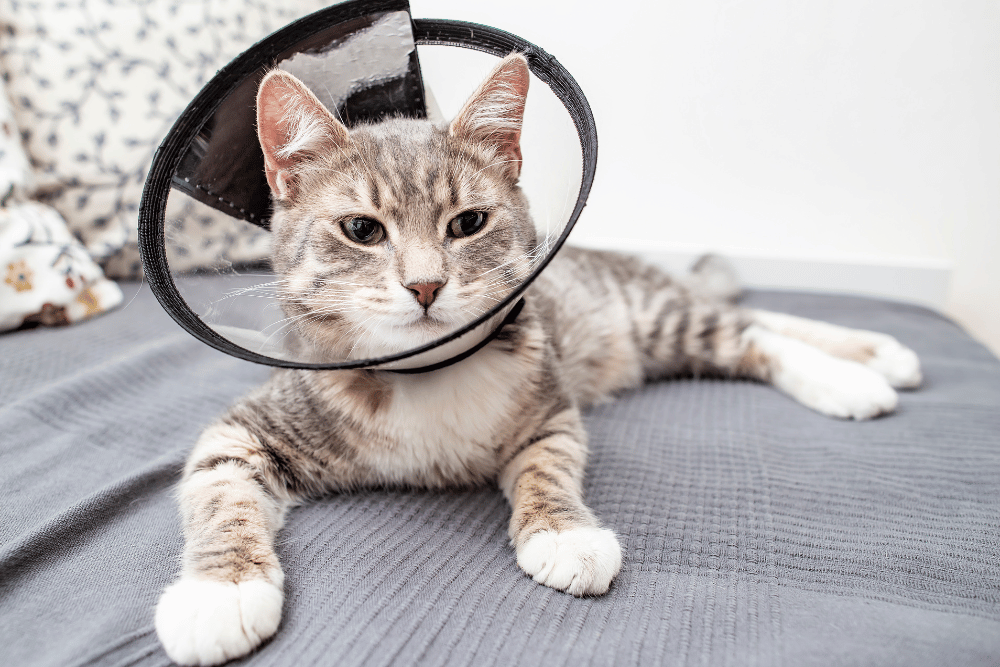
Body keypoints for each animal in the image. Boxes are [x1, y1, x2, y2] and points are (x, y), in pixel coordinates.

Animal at [152, 54, 924, 664]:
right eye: (361, 230)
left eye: (468, 223)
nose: (426, 285)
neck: (430, 370)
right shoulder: (247, 427)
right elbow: (218, 492)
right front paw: (219, 593)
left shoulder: (550, 405)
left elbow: (548, 463)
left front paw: (563, 532)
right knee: (751, 319)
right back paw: (874, 357)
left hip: (654, 319)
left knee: (748, 329)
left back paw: (858, 370)